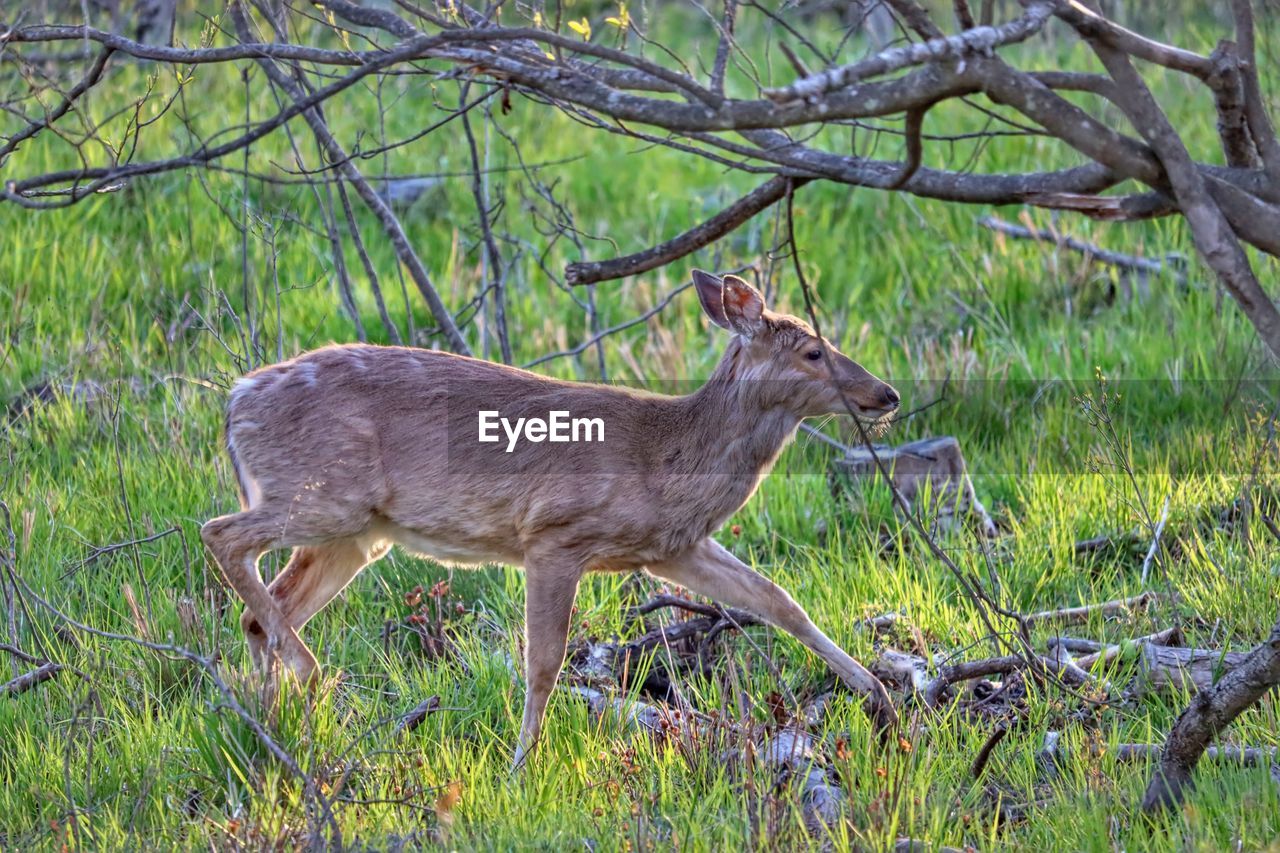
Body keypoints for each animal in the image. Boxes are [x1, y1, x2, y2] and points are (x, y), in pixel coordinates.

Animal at [202, 268, 901, 758]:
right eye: (814, 353)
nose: (886, 394)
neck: (667, 453)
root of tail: (235, 402)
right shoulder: (555, 534)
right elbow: (543, 664)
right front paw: (522, 763)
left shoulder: (673, 546)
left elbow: (780, 600)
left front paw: (879, 697)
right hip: (324, 497)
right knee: (221, 535)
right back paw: (306, 677)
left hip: (353, 533)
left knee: (263, 612)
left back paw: (273, 721)